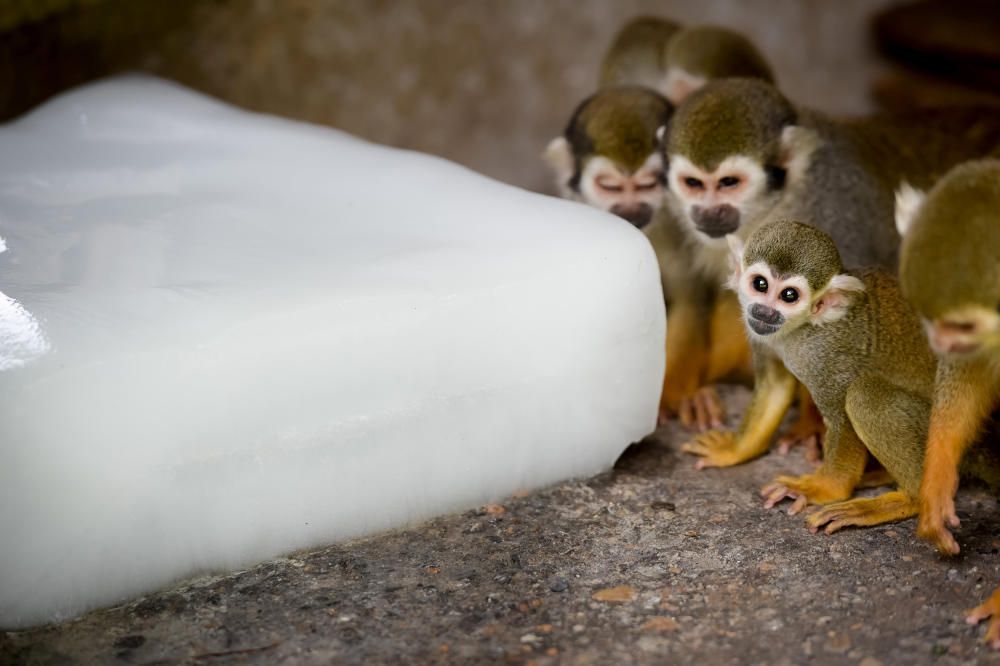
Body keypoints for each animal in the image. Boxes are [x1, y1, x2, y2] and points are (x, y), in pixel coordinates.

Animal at [672, 78, 1000, 464]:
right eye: (693, 184)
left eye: (728, 183)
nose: (707, 213)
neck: (783, 201)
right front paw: (686, 393)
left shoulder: (837, 214)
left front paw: (810, 425)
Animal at [712, 220, 936, 532]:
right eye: (760, 284)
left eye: (789, 296)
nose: (765, 311)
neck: (801, 329)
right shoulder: (760, 332)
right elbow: (775, 385)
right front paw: (734, 450)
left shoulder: (827, 354)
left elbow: (842, 418)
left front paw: (821, 489)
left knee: (865, 395)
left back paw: (909, 499)